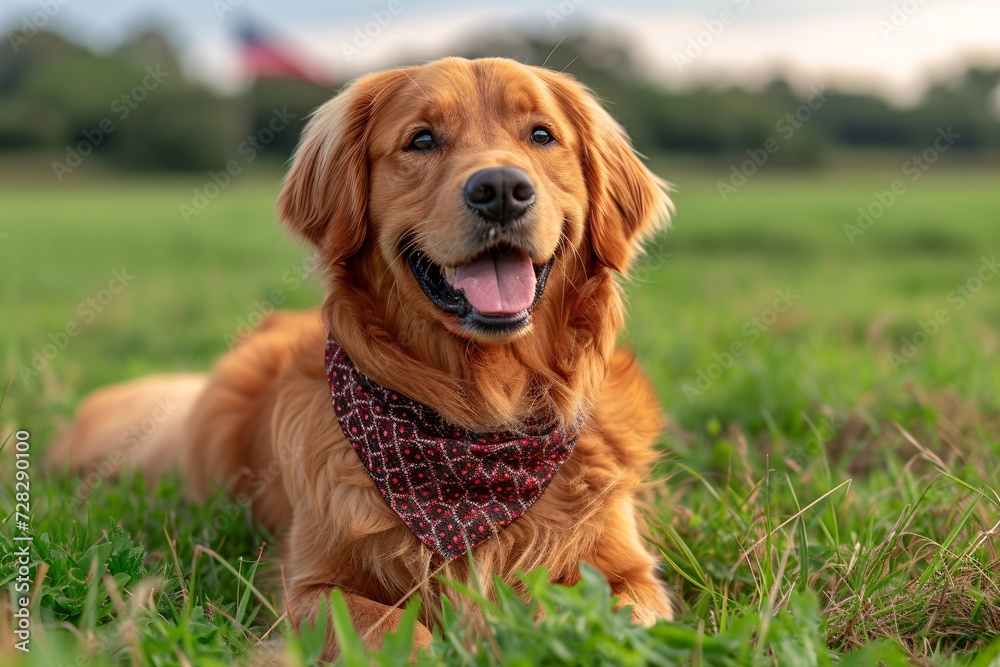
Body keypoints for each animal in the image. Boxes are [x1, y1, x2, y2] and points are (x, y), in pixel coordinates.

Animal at [56, 56, 680, 656]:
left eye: (542, 135)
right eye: (422, 140)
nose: (502, 188)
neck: (482, 420)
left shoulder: (633, 576)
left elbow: (593, 615)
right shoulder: (307, 588)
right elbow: (398, 633)